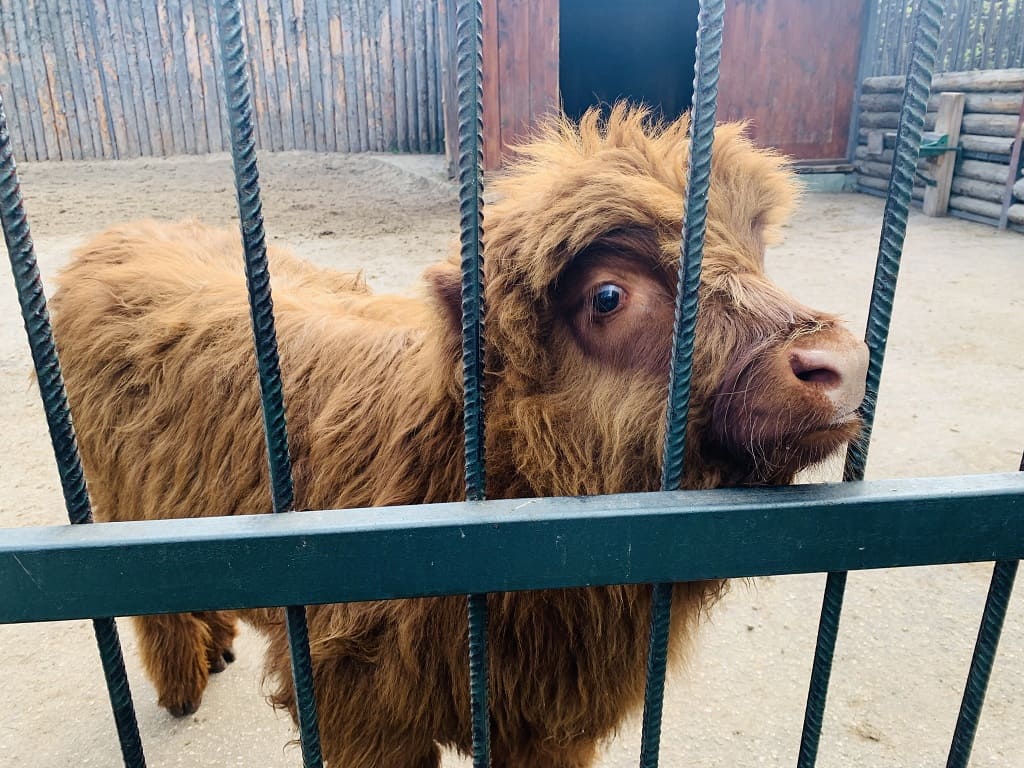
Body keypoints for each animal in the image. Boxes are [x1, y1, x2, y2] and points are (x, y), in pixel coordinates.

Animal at [48, 107, 864, 768]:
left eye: (758, 255)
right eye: (607, 296)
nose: (839, 363)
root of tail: (126, 232)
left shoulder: (548, 726)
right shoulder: (361, 711)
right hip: (119, 500)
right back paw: (182, 685)